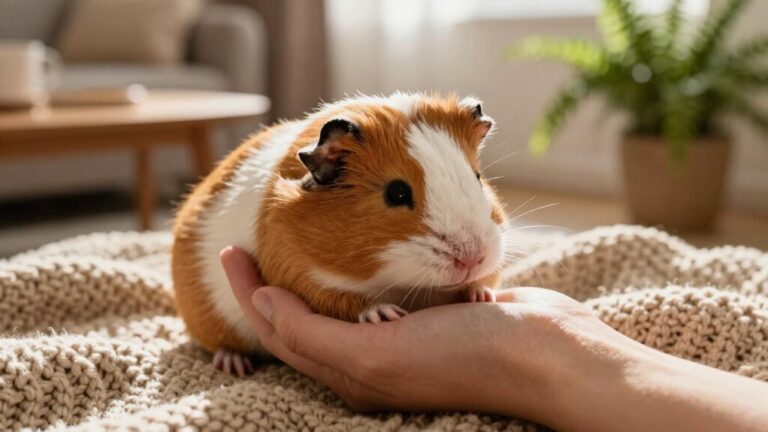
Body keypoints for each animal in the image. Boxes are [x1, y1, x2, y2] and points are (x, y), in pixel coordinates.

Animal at [172, 92, 510, 367]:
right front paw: (384, 314)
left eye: (477, 177)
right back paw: (233, 365)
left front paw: (481, 295)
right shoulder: (294, 271)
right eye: (396, 193)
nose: (472, 258)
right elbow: (342, 301)